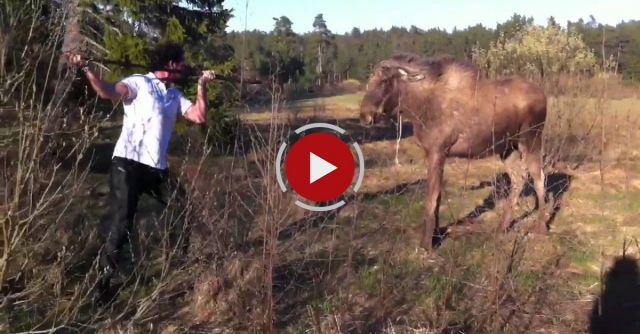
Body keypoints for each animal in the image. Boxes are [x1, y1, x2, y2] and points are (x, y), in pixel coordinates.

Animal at [362, 53, 548, 250]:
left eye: (384, 80)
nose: (364, 115)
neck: (418, 108)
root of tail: (544, 95)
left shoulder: (437, 150)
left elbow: (431, 198)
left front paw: (427, 244)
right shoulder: (437, 153)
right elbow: (438, 197)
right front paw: (435, 235)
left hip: (531, 139)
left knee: (539, 178)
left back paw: (541, 228)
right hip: (507, 148)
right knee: (519, 179)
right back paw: (503, 226)